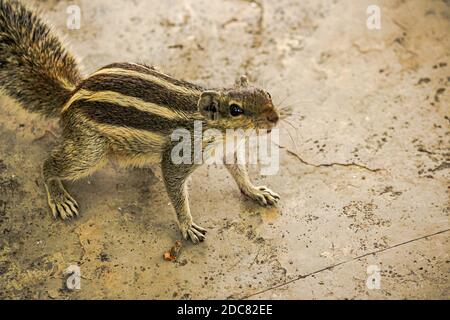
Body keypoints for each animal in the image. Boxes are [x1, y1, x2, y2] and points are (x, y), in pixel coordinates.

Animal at [0, 0, 280, 242]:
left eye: (266, 93)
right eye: (235, 110)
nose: (274, 118)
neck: (221, 133)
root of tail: (71, 94)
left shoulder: (230, 150)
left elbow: (239, 173)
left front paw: (255, 191)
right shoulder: (180, 154)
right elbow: (175, 187)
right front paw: (187, 225)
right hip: (91, 149)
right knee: (50, 165)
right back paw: (58, 196)